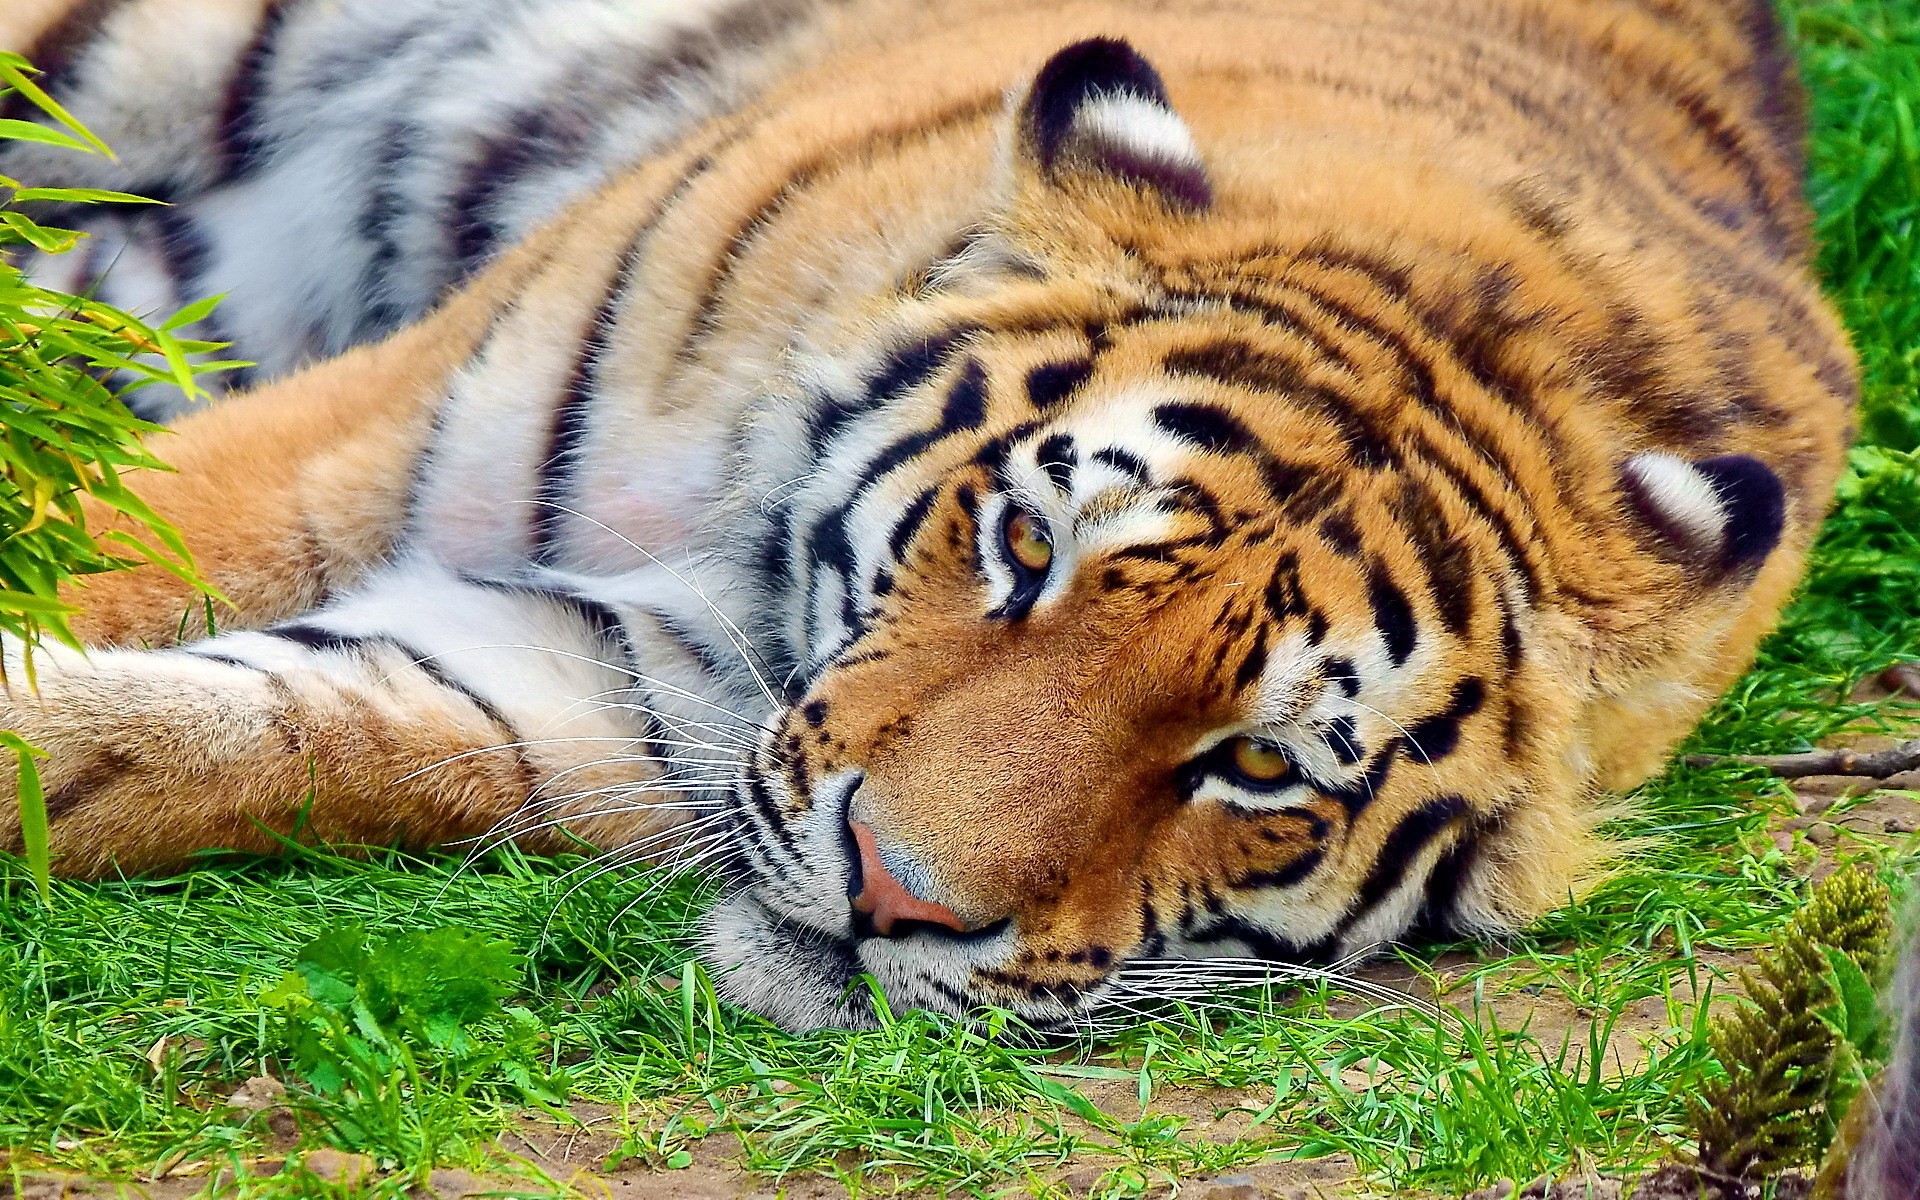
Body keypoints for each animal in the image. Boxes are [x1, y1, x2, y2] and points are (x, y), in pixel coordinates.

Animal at [0, 0, 1856, 1031]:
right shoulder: (368, 442)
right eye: (1027, 549)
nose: (893, 896)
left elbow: (265, 733)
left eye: (1260, 765)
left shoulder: (597, 688)